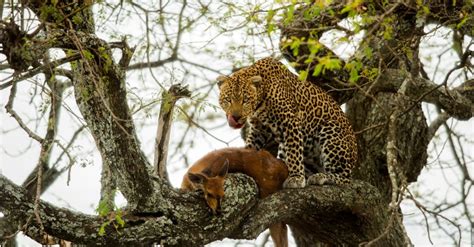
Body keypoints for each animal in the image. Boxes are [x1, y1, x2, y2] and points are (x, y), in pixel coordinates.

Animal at [217, 57, 358, 188]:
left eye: (245, 100)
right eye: (228, 100)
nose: (236, 117)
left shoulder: (290, 121)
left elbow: (294, 152)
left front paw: (296, 178)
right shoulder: (259, 128)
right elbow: (251, 146)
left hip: (331, 131)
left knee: (346, 179)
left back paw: (321, 177)